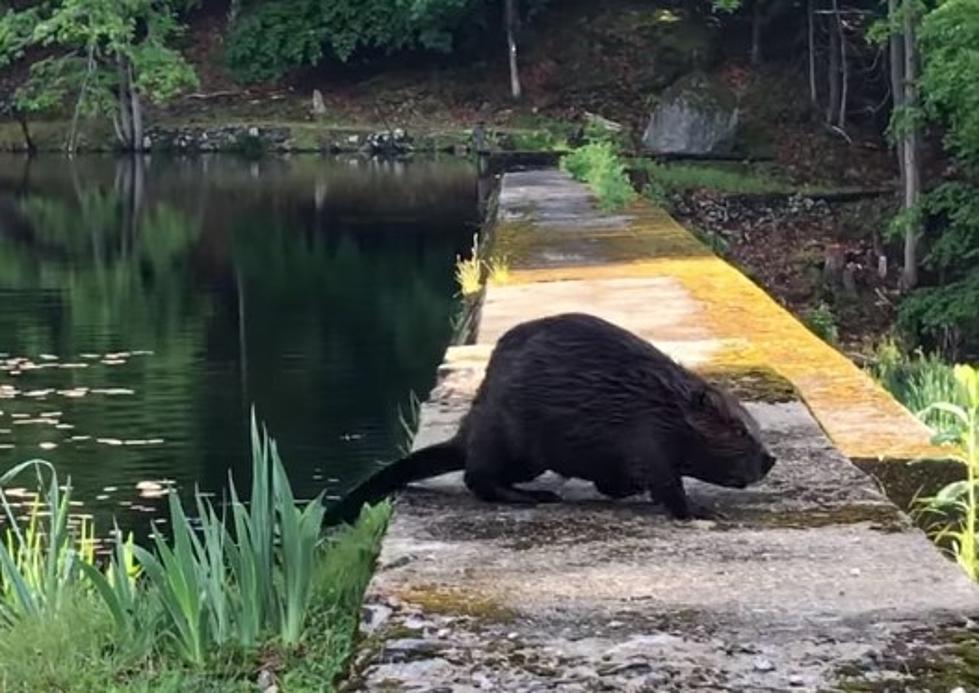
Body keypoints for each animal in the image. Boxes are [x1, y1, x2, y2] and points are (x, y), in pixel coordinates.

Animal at [326, 310, 776, 520]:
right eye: (739, 431)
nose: (770, 459)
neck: (661, 402)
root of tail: (465, 432)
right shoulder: (646, 435)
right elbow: (666, 482)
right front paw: (699, 509)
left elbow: (618, 479)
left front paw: (628, 489)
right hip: (514, 443)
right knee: (478, 477)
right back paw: (535, 496)